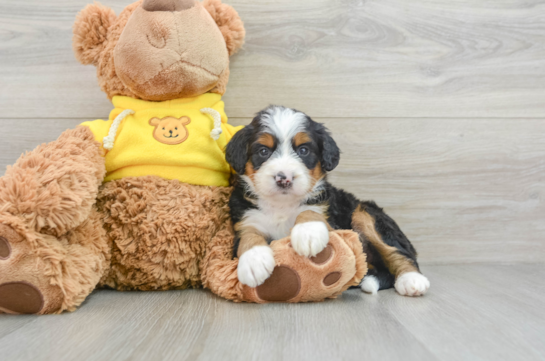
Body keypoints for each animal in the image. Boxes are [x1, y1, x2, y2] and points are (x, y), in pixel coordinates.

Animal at [224, 105, 430, 296]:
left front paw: (308, 233)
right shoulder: (244, 218)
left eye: (304, 150)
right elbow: (249, 235)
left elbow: (309, 210)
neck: (282, 205)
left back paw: (412, 280)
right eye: (263, 151)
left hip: (365, 213)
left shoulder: (333, 222)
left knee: (399, 251)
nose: (284, 178)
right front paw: (254, 261)